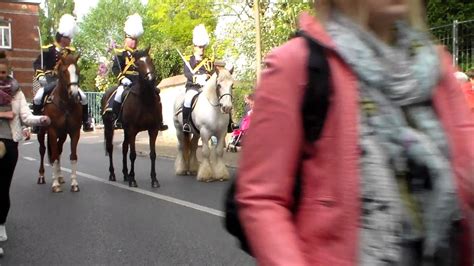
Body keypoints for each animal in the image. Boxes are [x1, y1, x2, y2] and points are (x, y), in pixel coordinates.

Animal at [37, 53, 82, 192]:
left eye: (77, 71)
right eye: (64, 71)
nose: (74, 94)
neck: (65, 104)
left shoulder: (74, 132)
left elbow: (73, 156)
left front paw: (74, 183)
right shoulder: (52, 132)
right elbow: (54, 156)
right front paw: (55, 184)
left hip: (62, 135)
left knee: (59, 149)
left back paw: (60, 176)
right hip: (42, 133)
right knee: (43, 150)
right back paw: (42, 176)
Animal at [101, 48, 165, 189]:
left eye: (150, 59)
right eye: (137, 64)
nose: (151, 78)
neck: (145, 100)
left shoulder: (153, 130)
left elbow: (152, 154)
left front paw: (154, 179)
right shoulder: (132, 130)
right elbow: (133, 155)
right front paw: (133, 179)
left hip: (125, 131)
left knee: (124, 148)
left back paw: (125, 174)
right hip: (109, 128)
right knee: (110, 148)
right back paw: (112, 174)